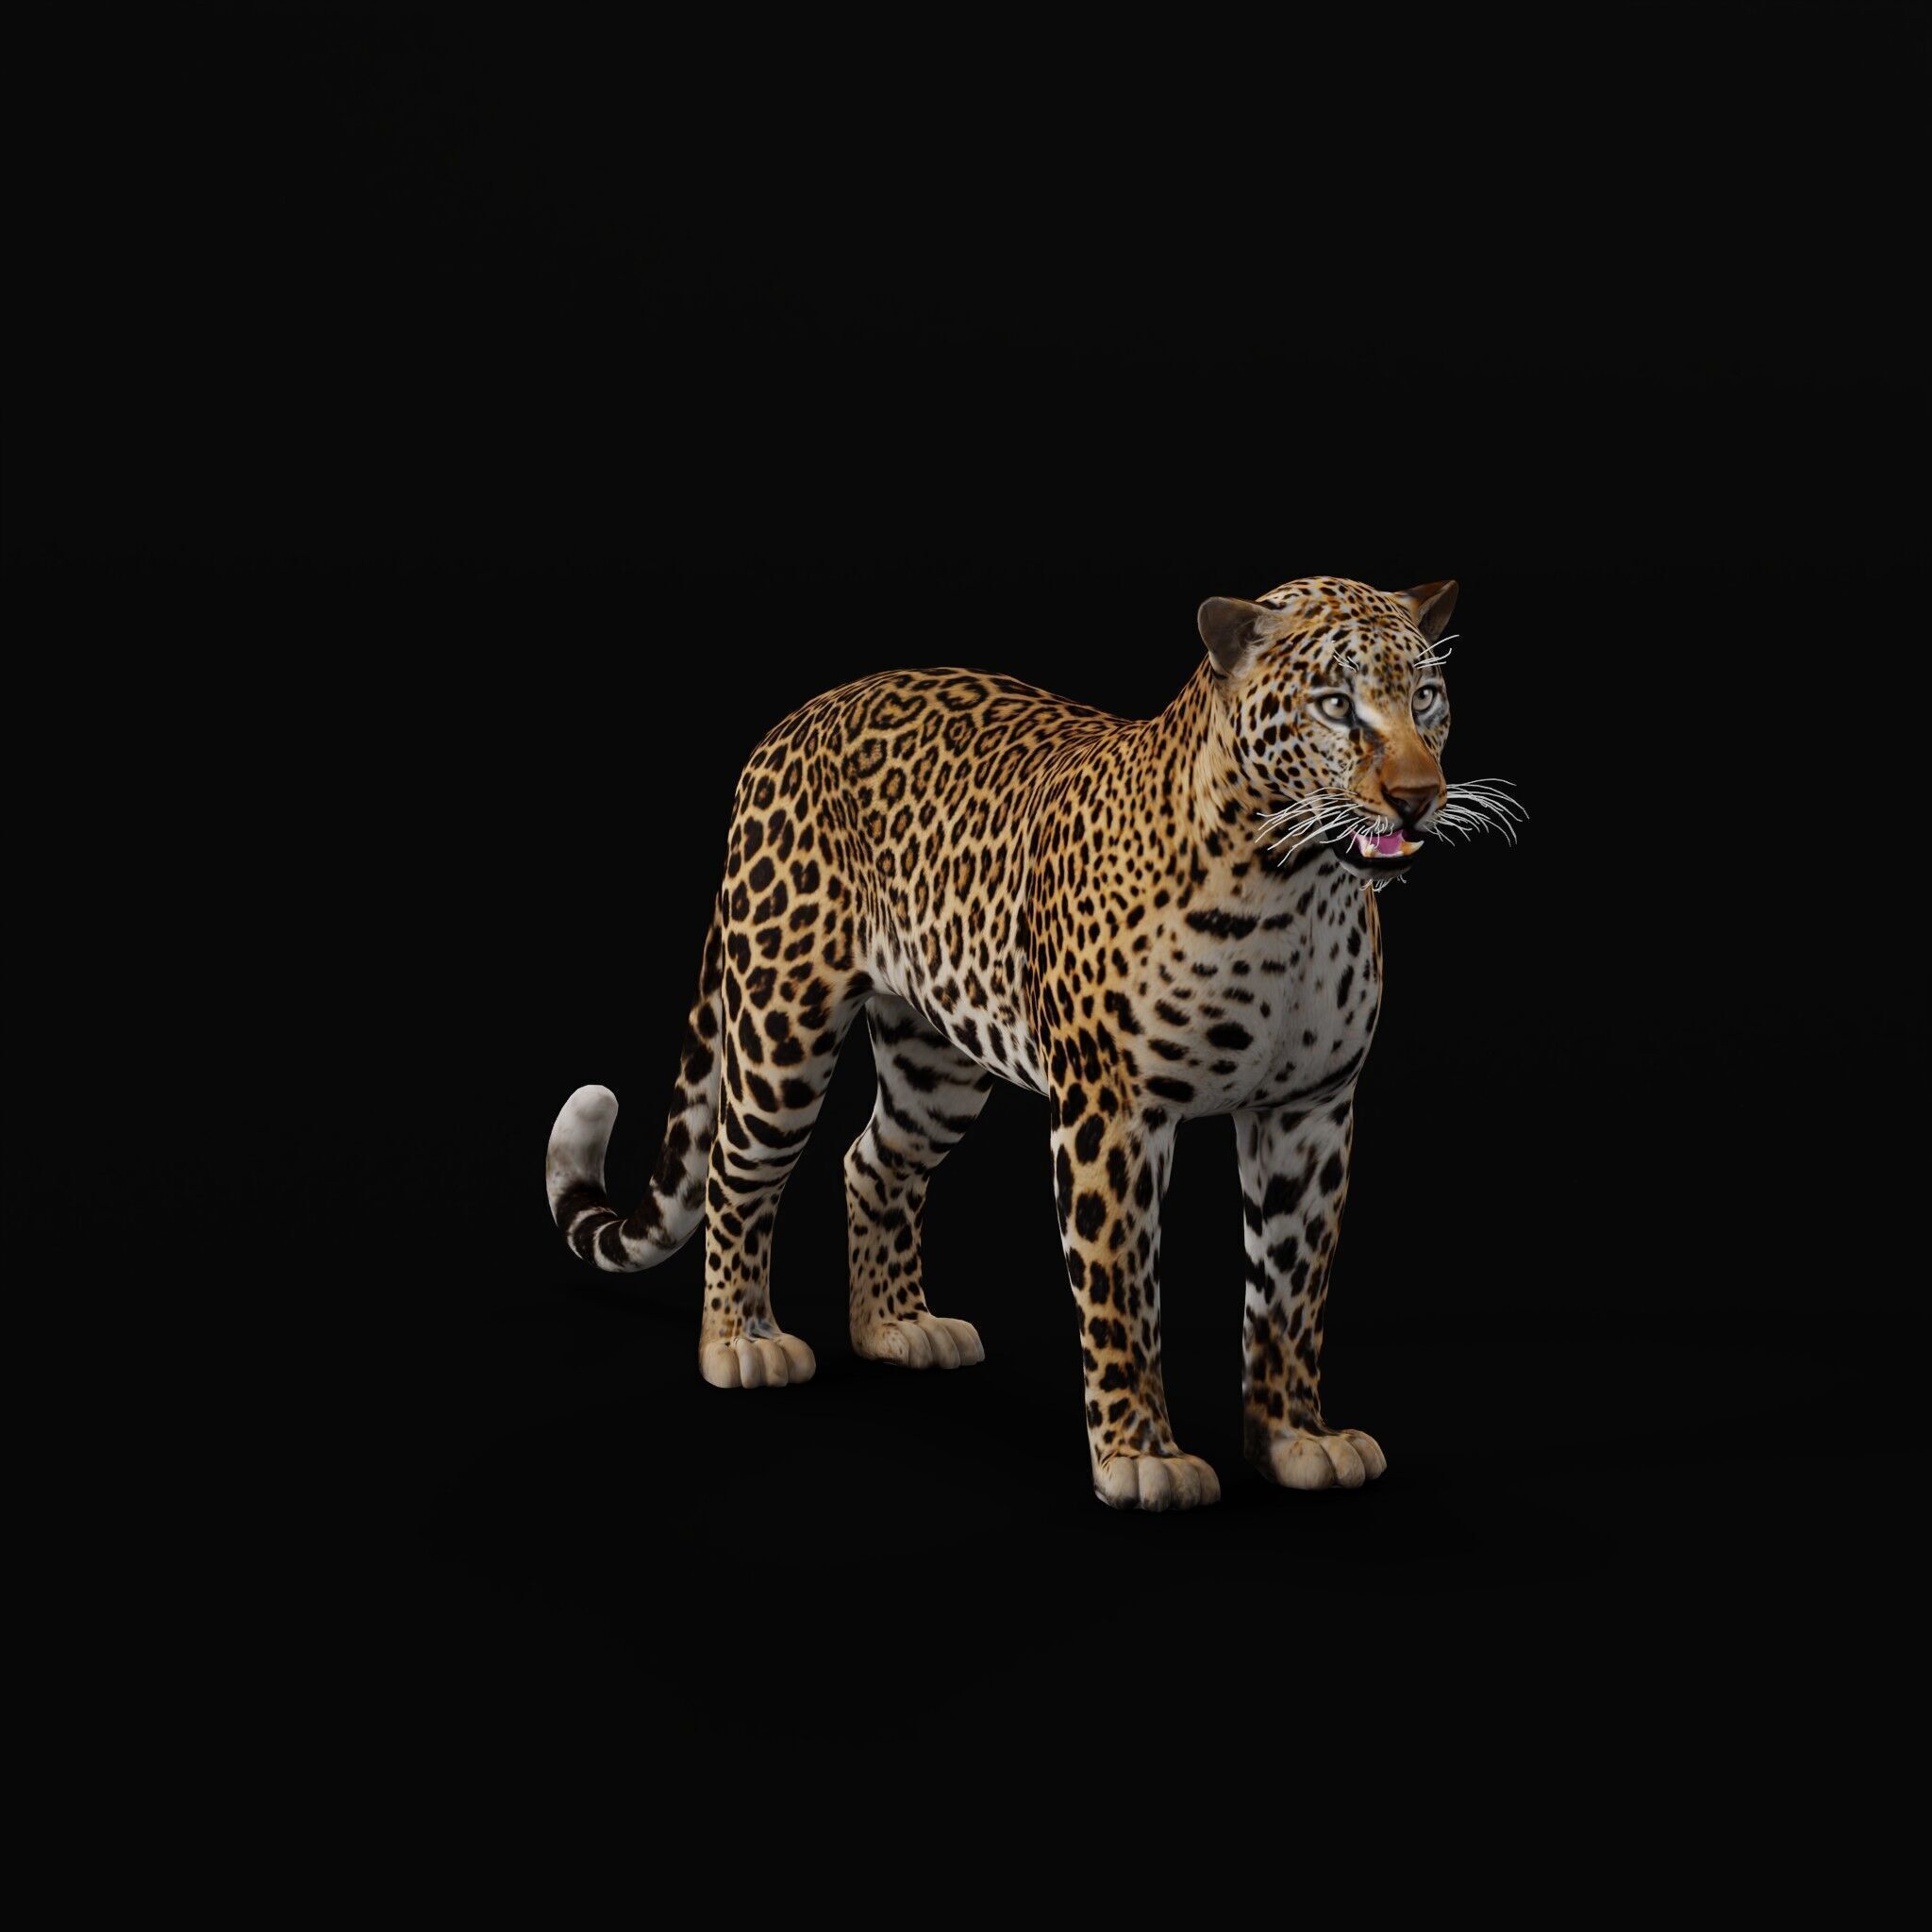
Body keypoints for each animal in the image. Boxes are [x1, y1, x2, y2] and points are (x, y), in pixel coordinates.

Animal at [545, 575, 1518, 1510]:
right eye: (1336, 705)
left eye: (1426, 696)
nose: (1417, 797)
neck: (1299, 892)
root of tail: (789, 724)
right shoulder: (1112, 1114)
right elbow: (1121, 1294)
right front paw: (1142, 1458)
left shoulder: (1309, 1113)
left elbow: (1291, 1292)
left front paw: (1296, 1440)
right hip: (782, 1024)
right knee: (735, 1169)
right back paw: (741, 1341)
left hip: (935, 1058)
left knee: (874, 1160)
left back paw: (896, 1326)